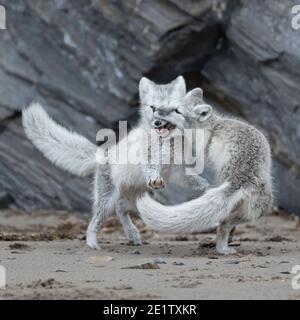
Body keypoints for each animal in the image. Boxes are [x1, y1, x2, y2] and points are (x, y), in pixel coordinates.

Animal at [22, 76, 209, 249]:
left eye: (174, 109)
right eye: (153, 108)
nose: (157, 122)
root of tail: (103, 155)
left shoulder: (178, 171)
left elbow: (195, 180)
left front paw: (207, 187)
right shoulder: (148, 160)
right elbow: (151, 169)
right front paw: (155, 178)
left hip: (135, 199)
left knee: (121, 211)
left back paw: (132, 235)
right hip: (107, 201)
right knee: (96, 220)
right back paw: (93, 244)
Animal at [137, 87, 274, 255]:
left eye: (177, 111)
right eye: (168, 103)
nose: (155, 109)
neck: (210, 128)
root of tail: (242, 176)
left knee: (223, 222)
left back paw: (221, 247)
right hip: (257, 210)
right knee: (225, 221)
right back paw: (223, 245)